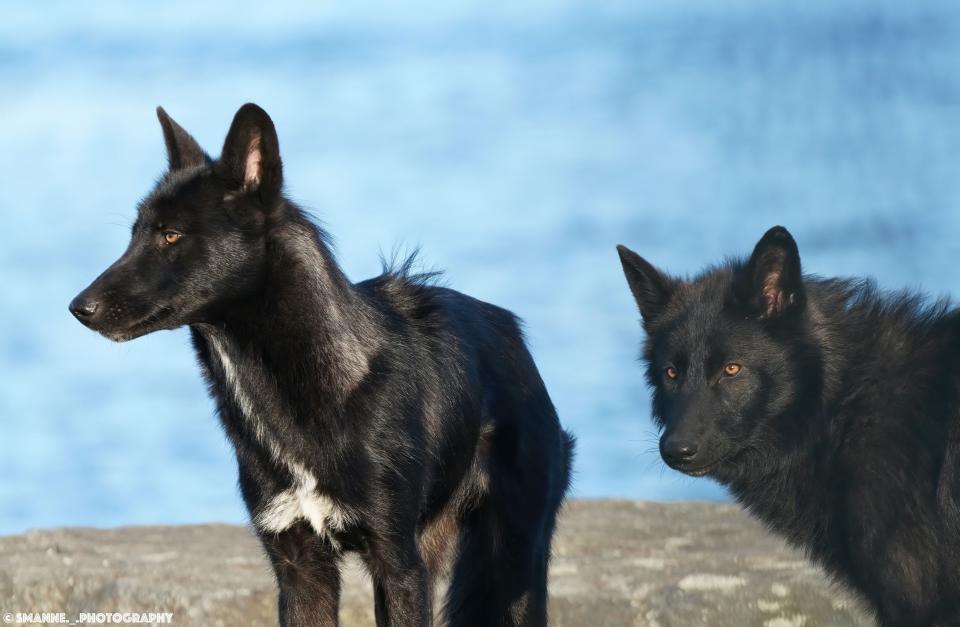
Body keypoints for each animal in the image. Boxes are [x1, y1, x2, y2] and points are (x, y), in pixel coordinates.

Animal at [75, 104, 572, 627]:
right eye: (134, 235)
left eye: (171, 235)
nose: (78, 307)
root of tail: (512, 331)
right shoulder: (300, 567)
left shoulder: (396, 563)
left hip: (512, 567)